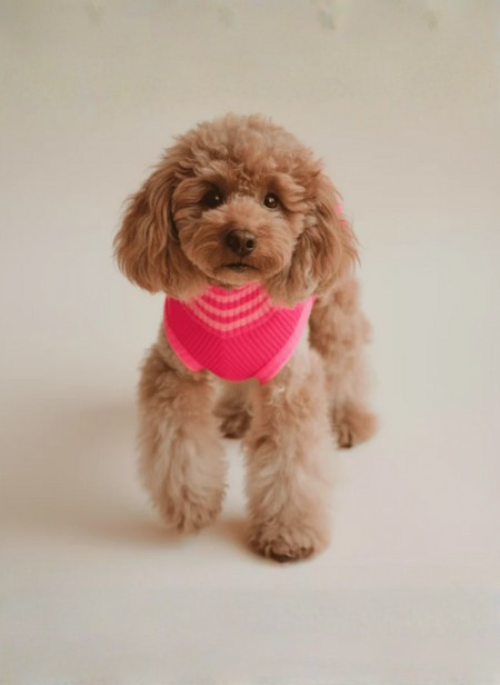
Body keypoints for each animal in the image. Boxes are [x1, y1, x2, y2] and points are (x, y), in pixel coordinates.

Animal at [114, 114, 376, 562]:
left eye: (272, 200)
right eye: (212, 197)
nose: (240, 237)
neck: (232, 297)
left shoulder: (290, 384)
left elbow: (291, 462)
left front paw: (288, 532)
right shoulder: (174, 373)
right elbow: (180, 446)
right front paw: (192, 506)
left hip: (332, 310)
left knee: (345, 360)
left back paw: (348, 418)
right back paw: (236, 416)